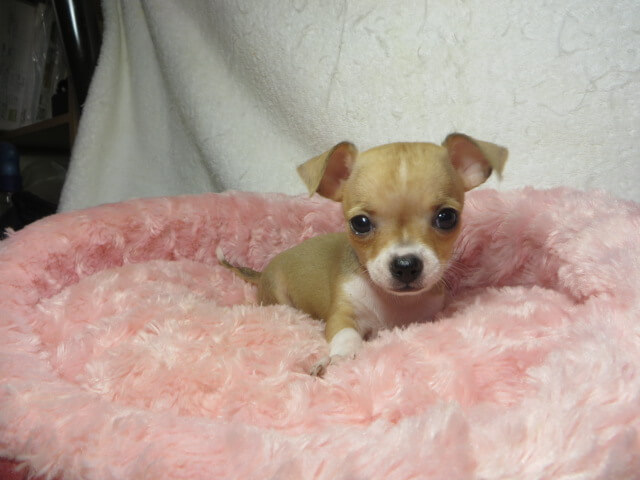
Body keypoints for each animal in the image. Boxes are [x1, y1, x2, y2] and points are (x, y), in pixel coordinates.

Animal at [218, 133, 507, 375]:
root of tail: (261, 272)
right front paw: (338, 358)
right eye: (360, 223)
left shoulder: (428, 315)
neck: (394, 303)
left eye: (447, 217)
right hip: (278, 297)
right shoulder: (343, 315)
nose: (406, 265)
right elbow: (346, 336)